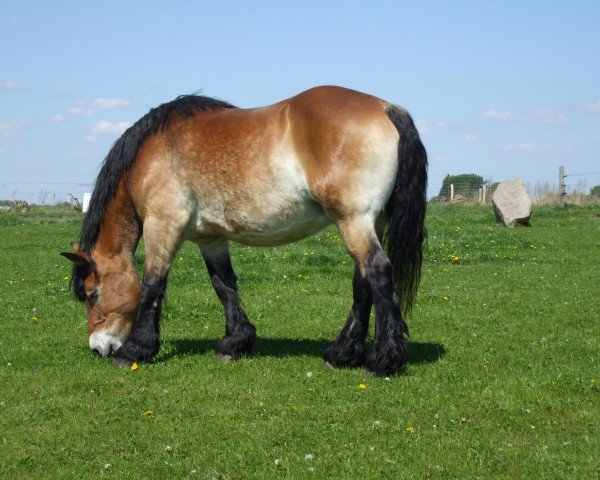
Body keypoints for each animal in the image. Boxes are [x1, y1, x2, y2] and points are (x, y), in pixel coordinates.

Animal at [62, 87, 426, 378]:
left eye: (92, 293)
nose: (98, 347)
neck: (153, 153)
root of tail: (386, 108)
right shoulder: (210, 238)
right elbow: (224, 285)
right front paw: (235, 342)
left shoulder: (162, 226)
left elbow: (153, 285)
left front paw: (136, 349)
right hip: (368, 221)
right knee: (363, 283)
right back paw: (342, 354)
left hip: (353, 220)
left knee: (378, 274)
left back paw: (382, 360)